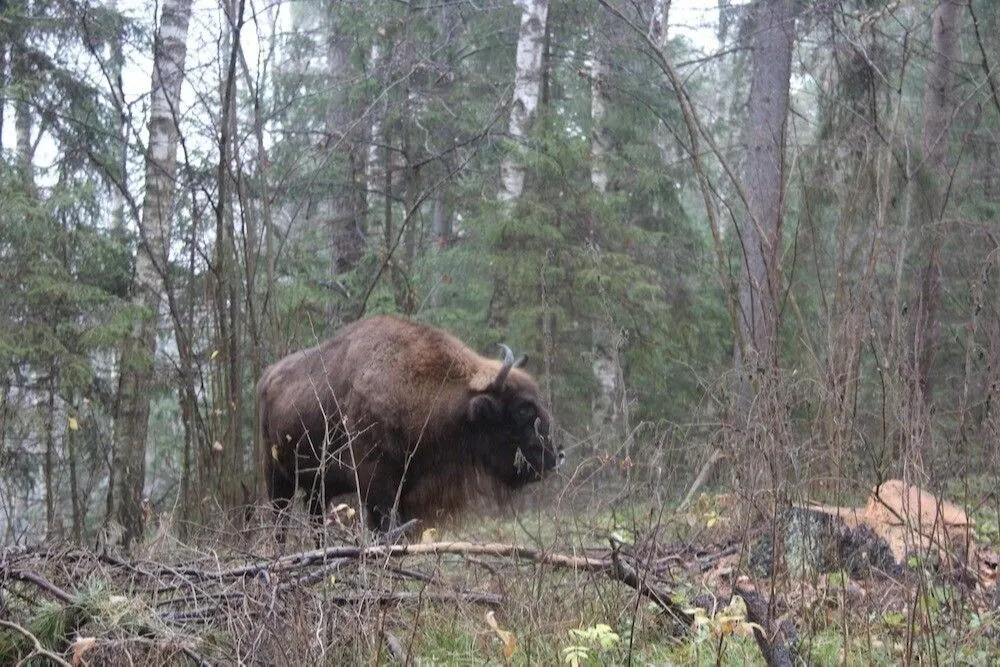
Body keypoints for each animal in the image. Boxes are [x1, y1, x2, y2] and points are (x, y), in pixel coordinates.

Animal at [256, 314, 564, 536]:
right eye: (523, 409)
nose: (558, 455)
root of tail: (268, 377)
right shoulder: (376, 487)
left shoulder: (406, 491)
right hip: (278, 479)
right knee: (280, 521)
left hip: (317, 489)